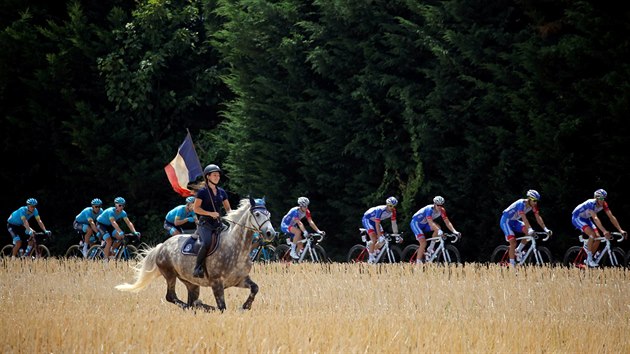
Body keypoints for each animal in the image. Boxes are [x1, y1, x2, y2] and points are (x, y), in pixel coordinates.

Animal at [116, 198, 276, 312]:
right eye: (257, 214)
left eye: (268, 214)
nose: (271, 233)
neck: (236, 248)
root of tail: (162, 246)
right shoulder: (216, 283)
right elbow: (222, 307)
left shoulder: (240, 279)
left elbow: (255, 288)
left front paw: (245, 307)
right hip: (170, 274)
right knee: (172, 297)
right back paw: (201, 306)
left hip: (191, 282)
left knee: (190, 300)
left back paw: (200, 306)